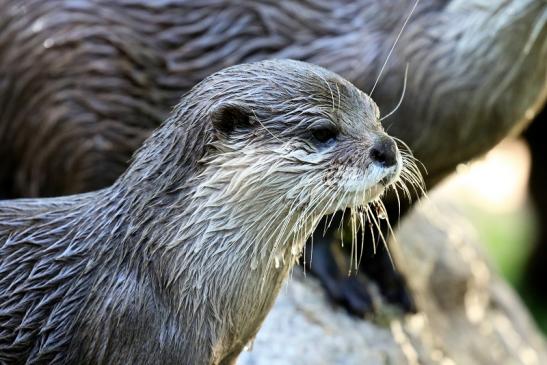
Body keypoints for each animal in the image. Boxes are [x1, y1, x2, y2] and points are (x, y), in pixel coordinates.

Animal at [0, 0, 544, 312]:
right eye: (324, 130)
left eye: (378, 117)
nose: (384, 146)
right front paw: (342, 284)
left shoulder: (438, 168)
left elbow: (390, 220)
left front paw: (392, 281)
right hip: (58, 113)